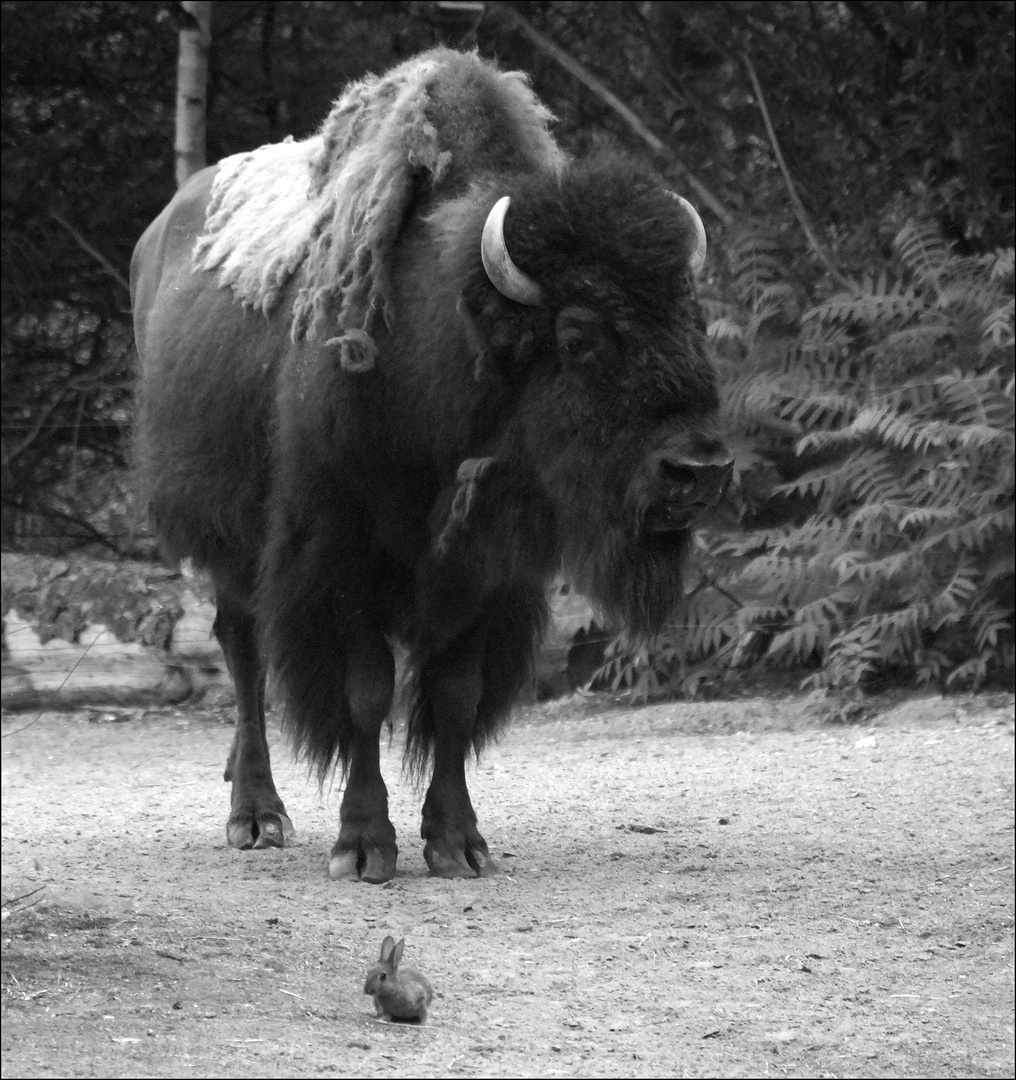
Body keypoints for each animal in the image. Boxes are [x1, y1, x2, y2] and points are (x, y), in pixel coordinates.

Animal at [130, 46, 734, 881]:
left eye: (692, 322)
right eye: (577, 336)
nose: (697, 471)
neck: (447, 343)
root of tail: (156, 236)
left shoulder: (490, 570)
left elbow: (455, 695)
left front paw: (458, 843)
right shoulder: (339, 551)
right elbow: (365, 692)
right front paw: (363, 848)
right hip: (226, 537)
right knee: (242, 653)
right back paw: (256, 816)